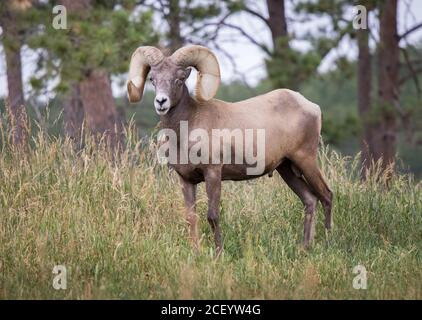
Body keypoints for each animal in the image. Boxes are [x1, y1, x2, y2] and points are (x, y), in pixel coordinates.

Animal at [127, 44, 332, 252]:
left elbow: (212, 216)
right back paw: (305, 247)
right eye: (153, 79)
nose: (161, 102)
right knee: (310, 200)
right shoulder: (186, 180)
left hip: (305, 160)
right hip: (287, 169)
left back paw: (328, 241)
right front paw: (196, 252)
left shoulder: (213, 173)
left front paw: (219, 252)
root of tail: (312, 107)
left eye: (179, 79)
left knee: (326, 196)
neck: (187, 129)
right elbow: (191, 217)